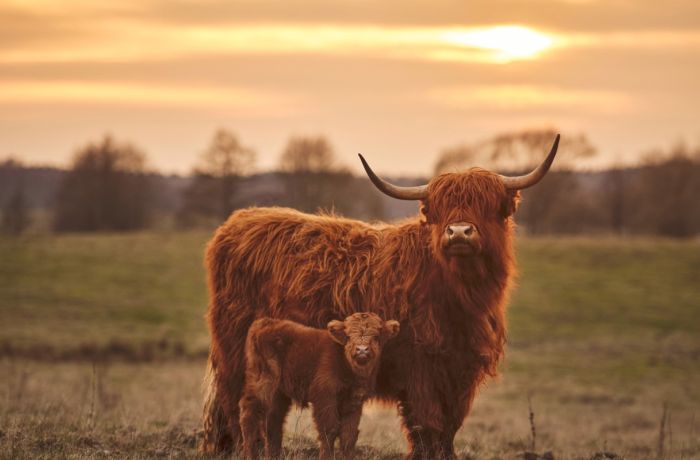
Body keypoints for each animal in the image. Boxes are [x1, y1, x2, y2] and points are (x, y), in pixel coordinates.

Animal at [239, 313, 400, 460]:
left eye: (377, 336)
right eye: (348, 336)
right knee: (249, 413)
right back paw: (250, 455)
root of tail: (265, 322)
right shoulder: (325, 397)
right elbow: (329, 430)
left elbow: (349, 435)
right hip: (262, 382)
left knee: (274, 421)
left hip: (278, 393)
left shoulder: (354, 402)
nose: (362, 350)